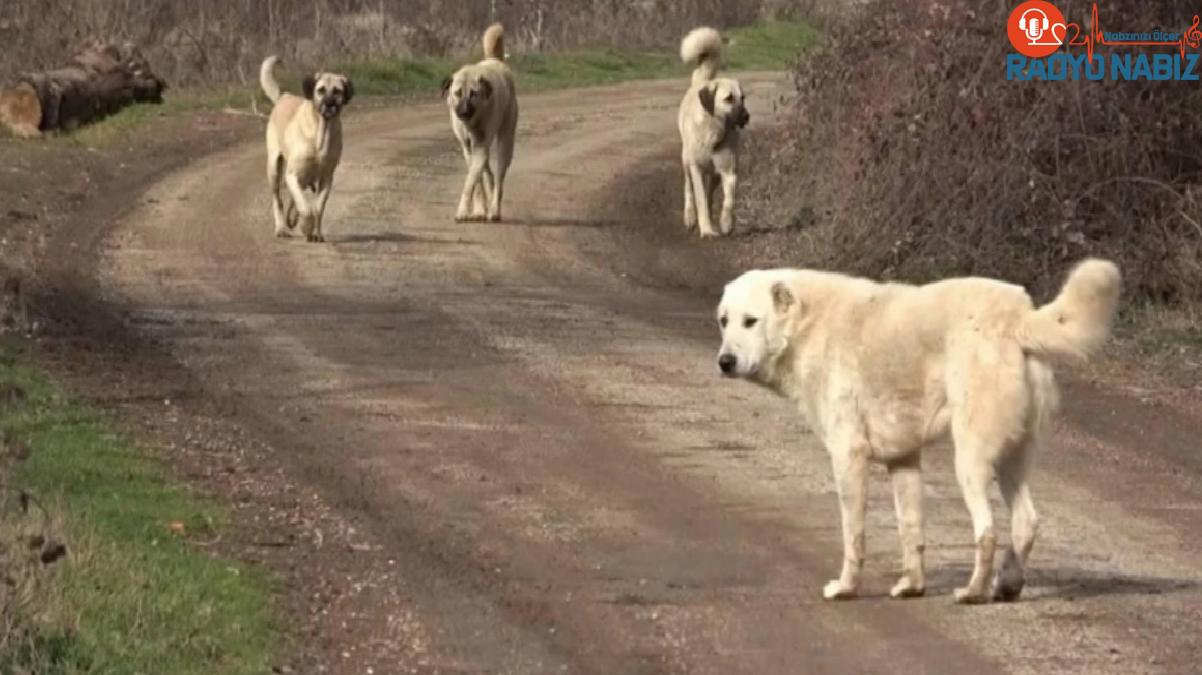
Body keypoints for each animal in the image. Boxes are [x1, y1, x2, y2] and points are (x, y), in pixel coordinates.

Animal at [260, 56, 353, 241]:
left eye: (337, 91)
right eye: (321, 90)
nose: (329, 104)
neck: (321, 133)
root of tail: (284, 95)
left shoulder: (326, 179)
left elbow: (317, 208)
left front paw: (316, 232)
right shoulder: (292, 175)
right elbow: (306, 207)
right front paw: (306, 226)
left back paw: (292, 218)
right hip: (274, 169)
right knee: (278, 200)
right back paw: (281, 228)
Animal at [442, 24, 516, 220]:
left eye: (473, 94)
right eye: (457, 93)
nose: (464, 112)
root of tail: (494, 60)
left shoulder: (481, 147)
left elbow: (470, 181)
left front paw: (463, 211)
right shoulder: (468, 148)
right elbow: (477, 182)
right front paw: (478, 209)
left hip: (505, 142)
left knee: (499, 176)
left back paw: (495, 210)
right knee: (488, 173)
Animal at [682, 26, 745, 236]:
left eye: (743, 98)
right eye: (728, 99)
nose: (747, 117)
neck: (713, 132)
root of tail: (703, 82)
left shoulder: (728, 171)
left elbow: (729, 200)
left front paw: (726, 223)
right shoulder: (697, 169)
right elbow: (700, 199)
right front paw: (707, 230)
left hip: (715, 174)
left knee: (710, 194)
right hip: (686, 161)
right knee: (689, 189)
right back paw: (690, 216)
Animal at [711, 260, 1115, 600]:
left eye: (751, 321)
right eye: (723, 321)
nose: (724, 362)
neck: (808, 326)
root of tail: (1017, 314)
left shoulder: (848, 456)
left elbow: (853, 534)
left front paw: (846, 588)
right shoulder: (903, 460)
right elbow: (911, 529)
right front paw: (911, 586)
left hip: (970, 461)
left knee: (988, 532)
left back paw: (972, 592)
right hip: (1010, 460)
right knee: (1026, 523)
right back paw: (1007, 586)